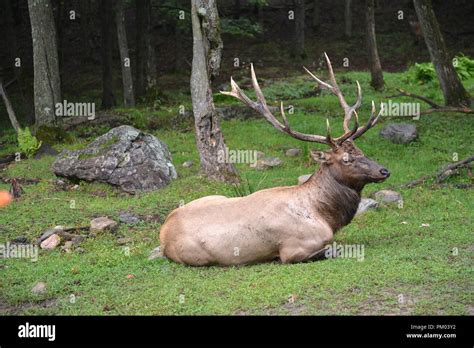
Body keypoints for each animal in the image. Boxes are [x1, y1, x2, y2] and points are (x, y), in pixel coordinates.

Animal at [159, 53, 388, 266]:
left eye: (362, 151)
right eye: (346, 159)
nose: (384, 170)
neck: (326, 217)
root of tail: (162, 233)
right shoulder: (293, 250)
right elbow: (334, 249)